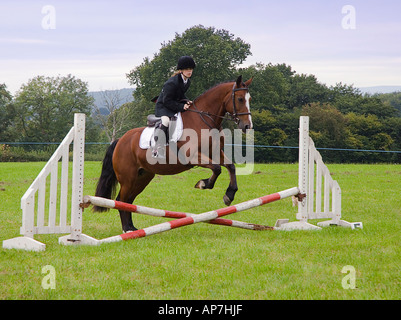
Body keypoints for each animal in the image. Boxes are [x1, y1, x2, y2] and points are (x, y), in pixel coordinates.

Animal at [92, 74, 252, 232]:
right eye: (240, 99)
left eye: (249, 99)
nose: (247, 126)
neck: (204, 120)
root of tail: (120, 140)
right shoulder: (193, 156)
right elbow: (217, 169)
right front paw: (203, 184)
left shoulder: (216, 153)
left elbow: (230, 166)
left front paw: (229, 195)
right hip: (128, 178)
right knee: (121, 200)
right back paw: (127, 229)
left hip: (143, 177)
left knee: (129, 201)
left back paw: (132, 228)